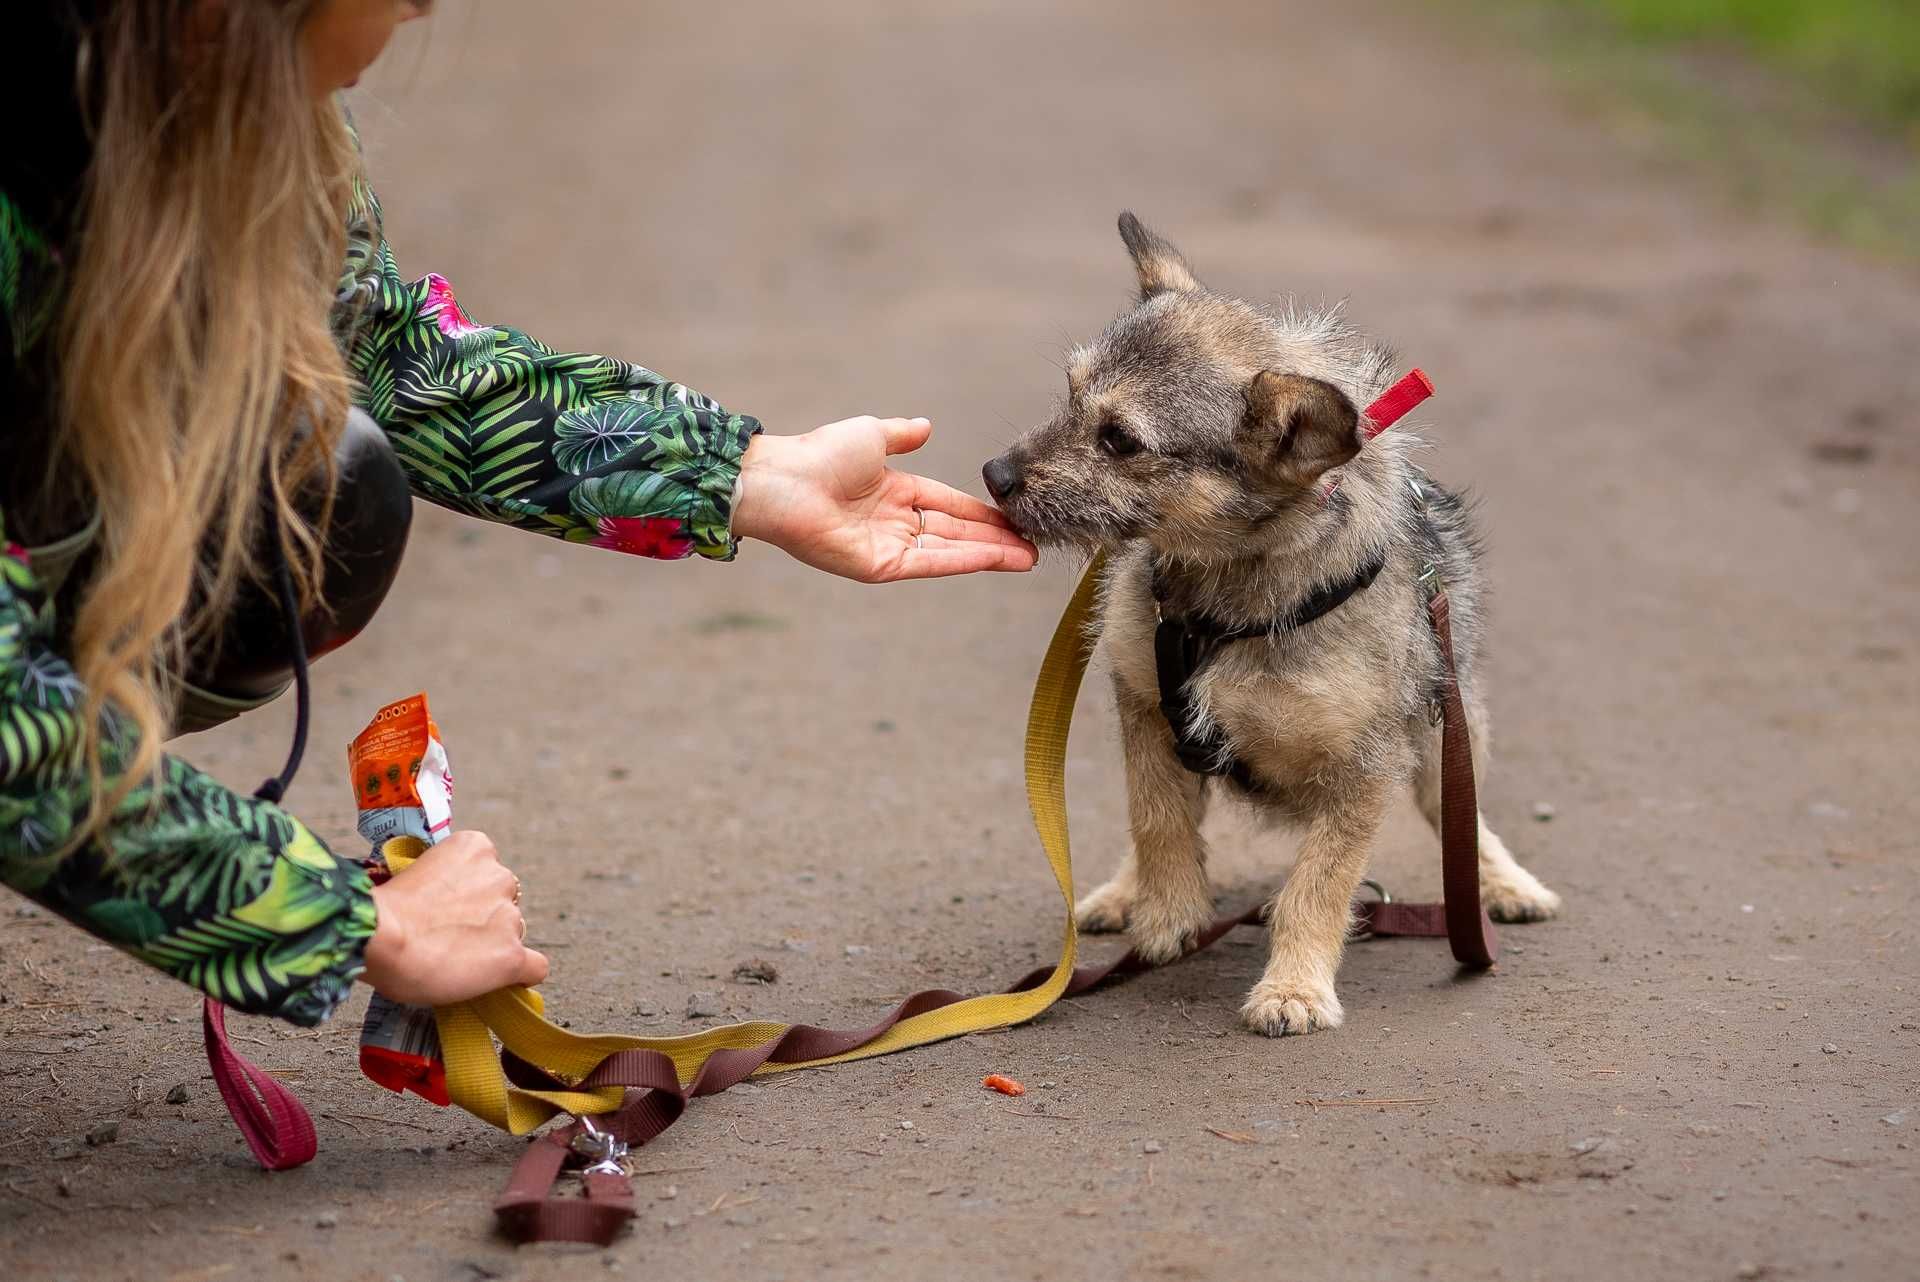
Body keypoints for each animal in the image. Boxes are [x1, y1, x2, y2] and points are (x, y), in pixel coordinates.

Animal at [975, 214, 1559, 1036]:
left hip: (1448, 732)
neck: (1226, 600)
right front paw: (1168, 912)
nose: (993, 475)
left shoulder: (1364, 770)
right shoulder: (1144, 706)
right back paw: (1125, 891)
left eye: (1120, 439)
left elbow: (1318, 884)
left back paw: (1502, 885)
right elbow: (1154, 816)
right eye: (1069, 390)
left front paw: (1294, 987)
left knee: (1459, 817)